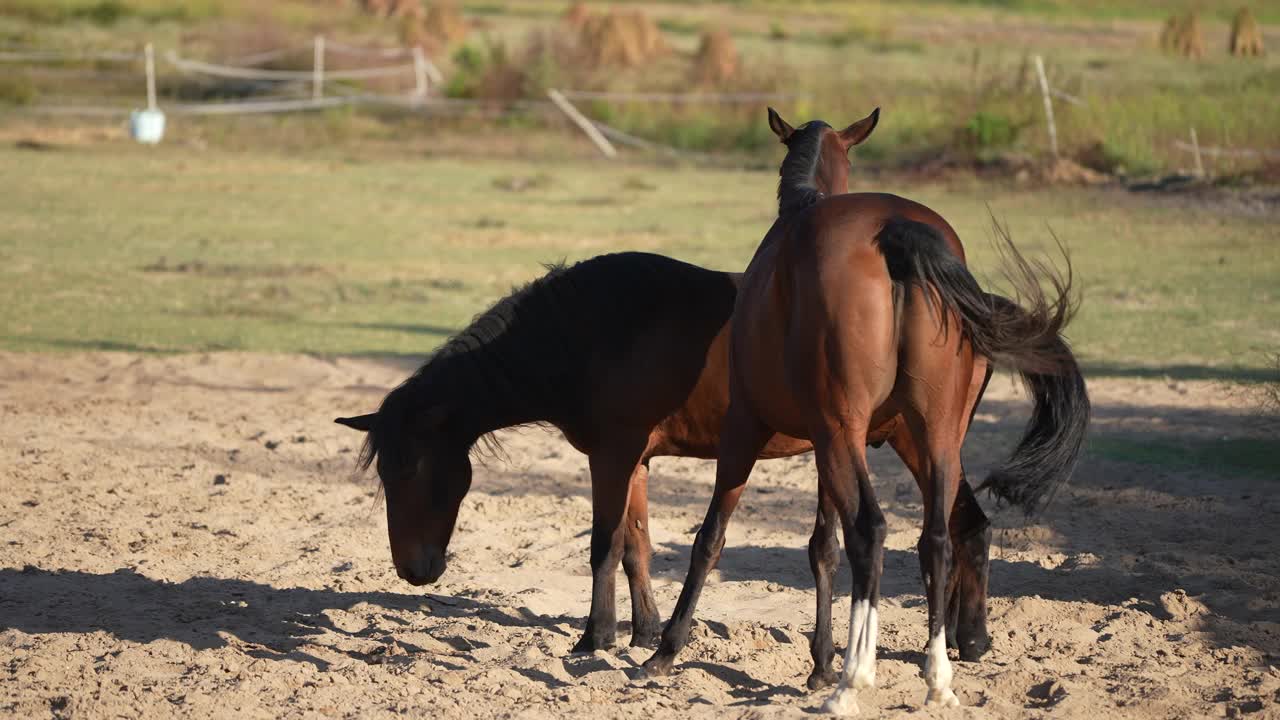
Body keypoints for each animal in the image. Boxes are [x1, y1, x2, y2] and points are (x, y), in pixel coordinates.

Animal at [640, 107, 1090, 712]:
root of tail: (895, 232)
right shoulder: (824, 444)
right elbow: (822, 547)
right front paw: (820, 662)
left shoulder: (747, 430)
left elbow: (712, 537)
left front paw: (666, 651)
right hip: (928, 436)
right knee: (941, 534)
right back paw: (943, 667)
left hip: (848, 435)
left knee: (872, 531)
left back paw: (858, 676)